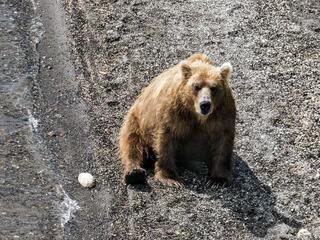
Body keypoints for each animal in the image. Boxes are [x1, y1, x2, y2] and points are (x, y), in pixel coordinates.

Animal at [117, 53, 235, 187]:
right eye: (196, 86)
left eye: (214, 87)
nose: (205, 104)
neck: (196, 114)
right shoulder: (174, 112)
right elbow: (166, 138)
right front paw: (170, 178)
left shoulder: (222, 113)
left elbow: (223, 141)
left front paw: (218, 179)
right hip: (137, 119)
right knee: (131, 141)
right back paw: (134, 173)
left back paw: (198, 165)